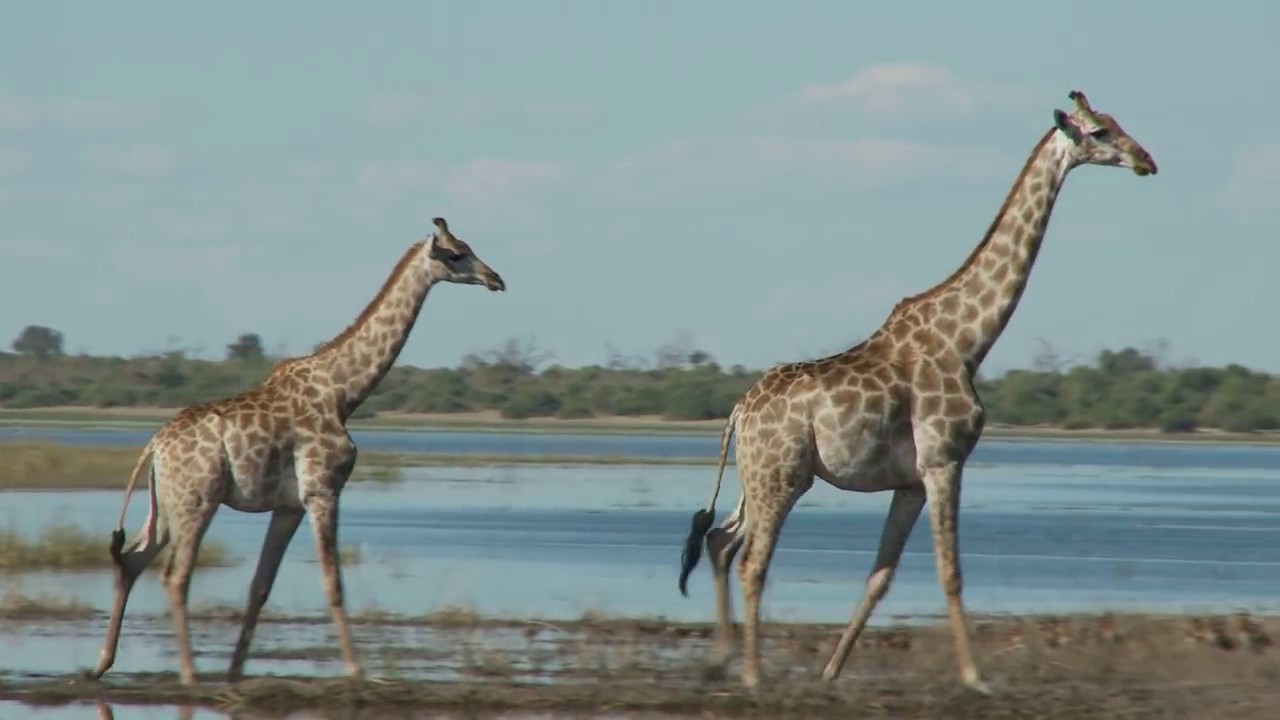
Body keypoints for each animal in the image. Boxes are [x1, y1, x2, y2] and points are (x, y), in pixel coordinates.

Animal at [85, 217, 506, 686]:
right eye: (456, 253)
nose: (496, 279)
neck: (344, 392)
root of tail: (154, 445)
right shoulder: (323, 490)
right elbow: (333, 582)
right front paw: (358, 670)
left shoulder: (288, 505)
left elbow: (261, 585)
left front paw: (235, 671)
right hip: (198, 500)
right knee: (176, 577)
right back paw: (189, 675)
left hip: (165, 505)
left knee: (132, 561)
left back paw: (101, 663)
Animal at [677, 90, 1158, 692]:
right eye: (1098, 132)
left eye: (1116, 123)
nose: (1146, 160)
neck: (968, 341)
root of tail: (739, 411)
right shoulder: (944, 460)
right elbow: (950, 571)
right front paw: (976, 677)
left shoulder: (909, 482)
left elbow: (881, 574)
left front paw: (830, 672)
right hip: (782, 477)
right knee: (751, 560)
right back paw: (752, 674)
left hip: (759, 475)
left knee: (720, 540)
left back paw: (722, 660)